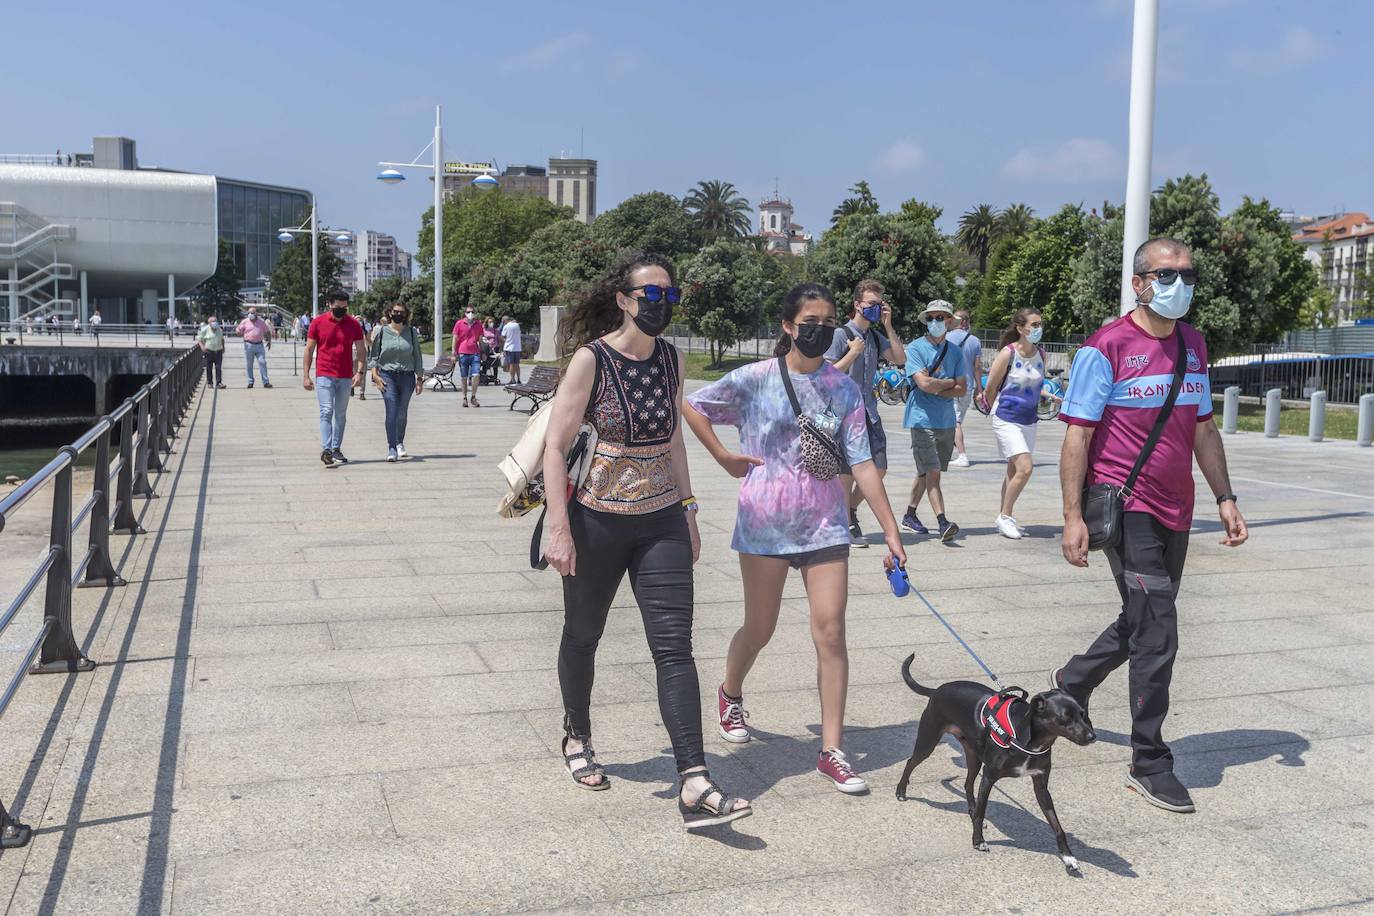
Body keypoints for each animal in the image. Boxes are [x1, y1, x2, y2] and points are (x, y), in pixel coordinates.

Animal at [895, 650, 1099, 873]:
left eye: (1083, 714)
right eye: (1065, 717)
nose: (1092, 736)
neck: (1029, 739)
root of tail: (937, 690)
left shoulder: (1041, 786)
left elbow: (1057, 826)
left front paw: (1068, 857)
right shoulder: (989, 777)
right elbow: (982, 811)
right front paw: (978, 841)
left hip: (973, 756)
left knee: (967, 784)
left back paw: (970, 809)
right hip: (929, 741)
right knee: (910, 762)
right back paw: (901, 791)